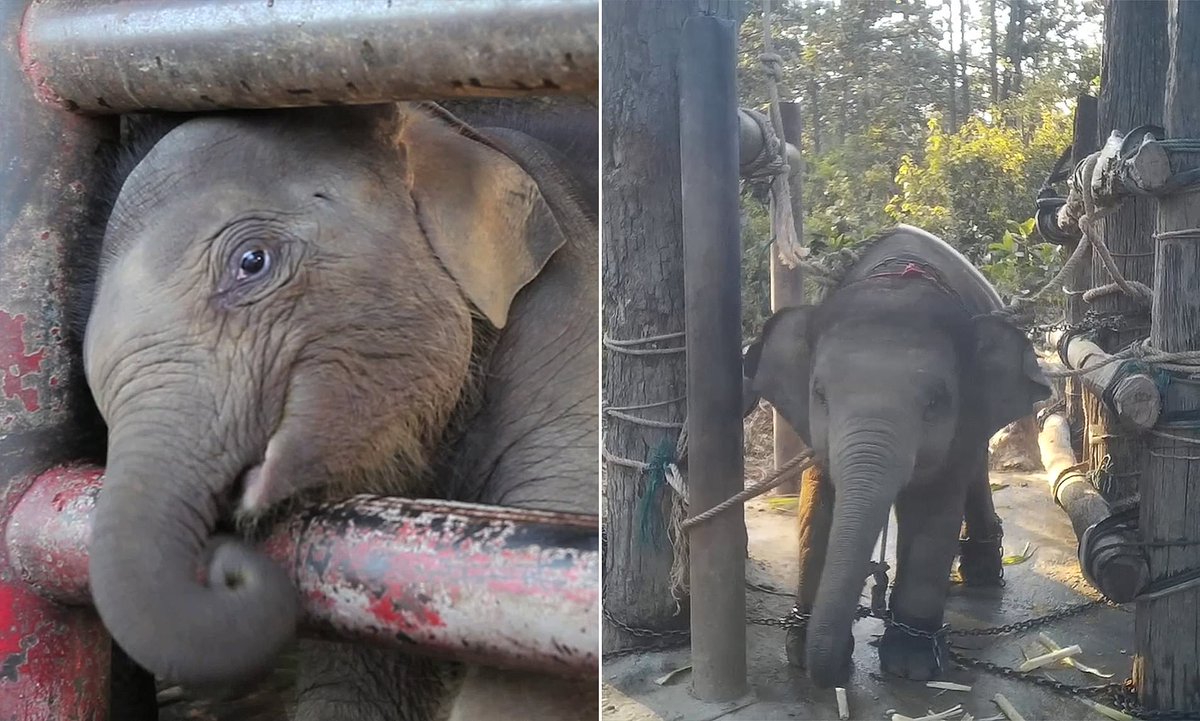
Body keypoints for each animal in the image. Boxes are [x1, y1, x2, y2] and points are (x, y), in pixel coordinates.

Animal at [742, 224, 1050, 688]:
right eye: (820, 395)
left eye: (935, 403)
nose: (825, 675)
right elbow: (819, 504)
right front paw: (800, 650)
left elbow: (933, 507)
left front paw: (913, 664)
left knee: (974, 466)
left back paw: (980, 575)